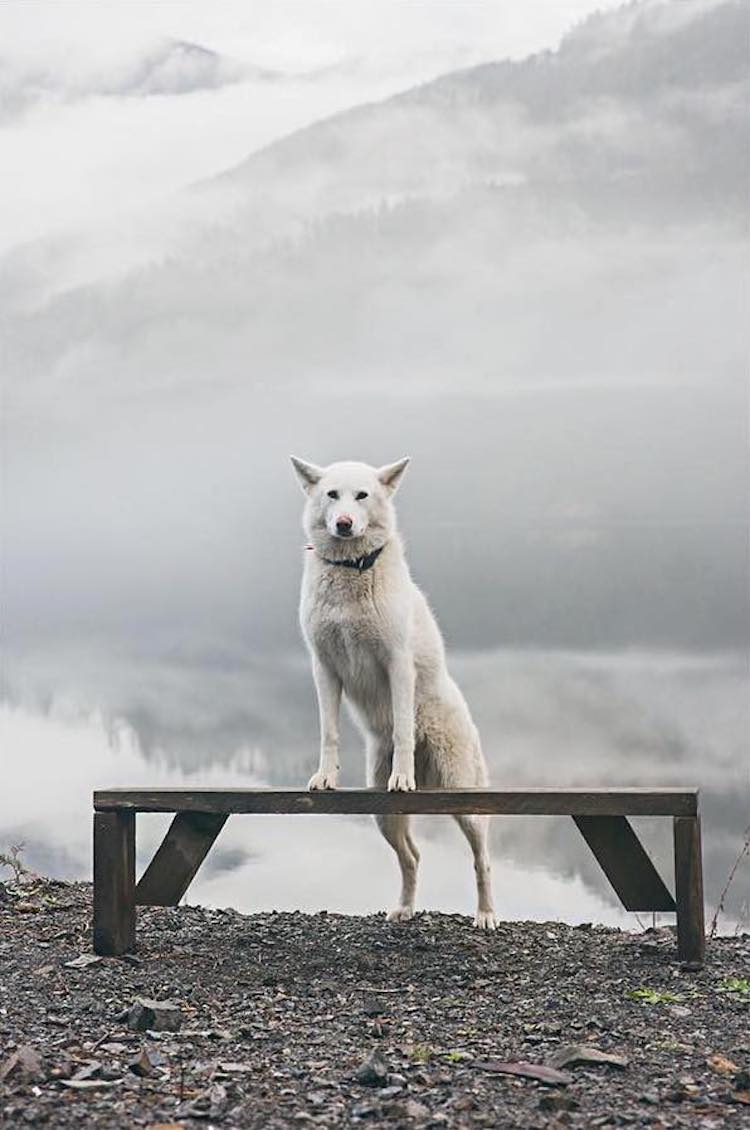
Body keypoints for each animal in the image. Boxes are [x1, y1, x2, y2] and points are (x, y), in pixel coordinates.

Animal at [289, 454, 494, 931]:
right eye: (332, 495)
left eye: (362, 495)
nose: (344, 523)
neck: (351, 568)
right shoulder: (324, 668)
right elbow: (329, 732)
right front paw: (325, 777)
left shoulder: (397, 664)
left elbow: (401, 727)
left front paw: (403, 777)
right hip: (381, 813)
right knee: (412, 857)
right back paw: (404, 908)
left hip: (465, 799)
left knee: (482, 859)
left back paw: (486, 914)